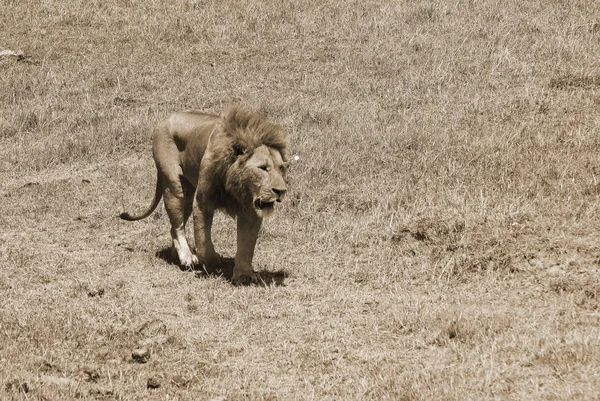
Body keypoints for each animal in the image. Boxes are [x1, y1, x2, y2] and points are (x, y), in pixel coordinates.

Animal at [120, 104, 290, 282]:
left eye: (282, 168)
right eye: (263, 168)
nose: (281, 191)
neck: (236, 185)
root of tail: (164, 120)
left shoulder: (250, 209)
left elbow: (247, 243)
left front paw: (244, 274)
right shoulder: (203, 201)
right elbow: (202, 237)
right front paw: (211, 260)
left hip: (188, 195)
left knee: (174, 227)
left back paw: (177, 255)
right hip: (174, 187)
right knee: (178, 226)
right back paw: (187, 257)